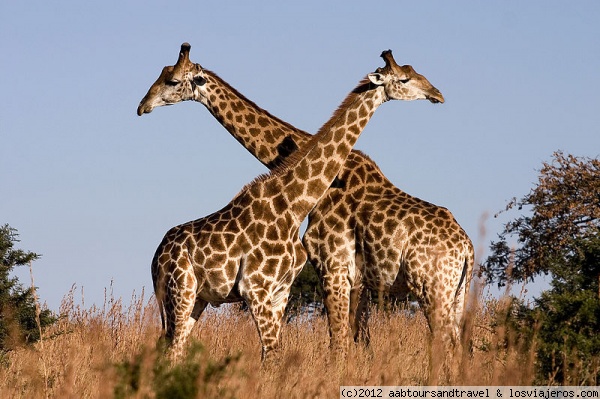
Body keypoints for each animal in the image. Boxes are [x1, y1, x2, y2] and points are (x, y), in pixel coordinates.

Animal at [139, 44, 468, 362]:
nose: (143, 106)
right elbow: (346, 345)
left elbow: (339, 345)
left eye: (171, 80)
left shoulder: (324, 273)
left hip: (437, 289)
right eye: (406, 77)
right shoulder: (331, 277)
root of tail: (467, 248)